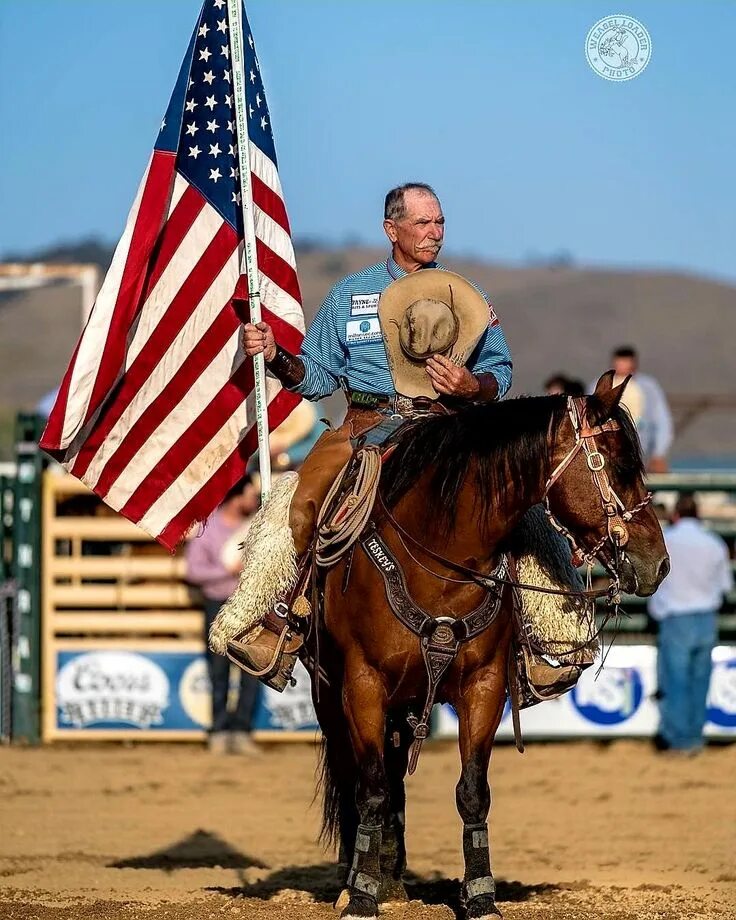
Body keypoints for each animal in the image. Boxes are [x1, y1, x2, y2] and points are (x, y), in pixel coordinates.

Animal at [308, 374, 668, 920]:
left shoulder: (484, 685)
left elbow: (472, 791)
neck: (440, 557)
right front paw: (362, 897)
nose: (659, 562)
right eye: (622, 466)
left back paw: (391, 878)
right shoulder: (363, 683)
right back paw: (359, 880)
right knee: (358, 777)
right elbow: (369, 789)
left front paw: (480, 897)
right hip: (331, 696)